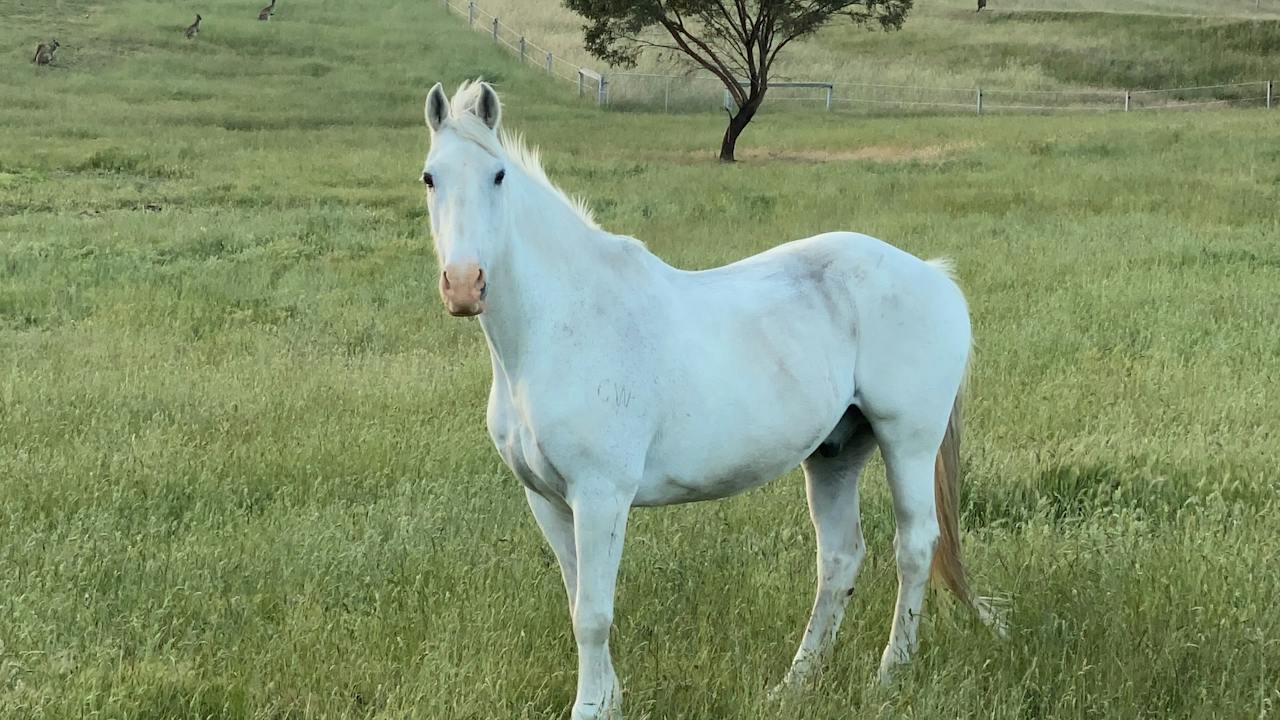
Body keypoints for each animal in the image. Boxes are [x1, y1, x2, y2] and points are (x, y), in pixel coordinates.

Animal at [420, 80, 1003, 719]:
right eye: (430, 177)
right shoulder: (547, 500)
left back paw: (889, 674)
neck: (561, 323)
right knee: (840, 559)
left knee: (915, 547)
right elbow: (578, 601)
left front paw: (592, 707)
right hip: (836, 452)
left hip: (908, 441)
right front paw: (608, 698)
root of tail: (932, 275)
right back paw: (795, 682)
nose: (464, 285)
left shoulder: (600, 496)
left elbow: (593, 615)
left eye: (498, 175)